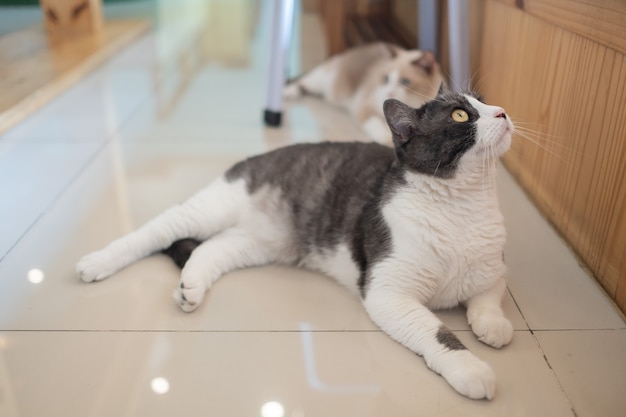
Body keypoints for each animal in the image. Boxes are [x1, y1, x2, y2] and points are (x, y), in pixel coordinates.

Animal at [77, 90, 512, 400]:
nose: (503, 112)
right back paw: (96, 262)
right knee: (156, 230)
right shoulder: (389, 293)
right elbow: (435, 331)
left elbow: (489, 297)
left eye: (483, 99)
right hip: (212, 207)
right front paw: (470, 369)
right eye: (461, 115)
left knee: (208, 249)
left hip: (259, 243)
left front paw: (493, 325)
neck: (462, 207)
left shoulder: (492, 268)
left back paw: (191, 288)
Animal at [282, 41, 438, 144]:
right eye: (386, 78)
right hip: (322, 80)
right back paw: (289, 92)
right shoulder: (365, 109)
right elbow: (382, 133)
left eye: (405, 82)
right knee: (302, 81)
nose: (389, 92)